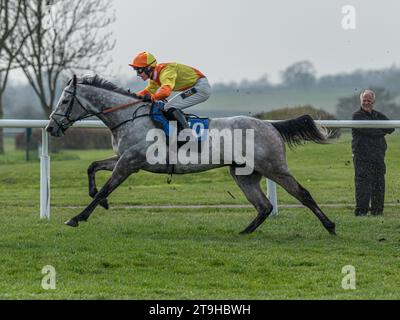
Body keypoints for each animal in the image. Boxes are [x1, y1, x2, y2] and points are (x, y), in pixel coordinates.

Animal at [45, 75, 336, 235]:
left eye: (64, 100)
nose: (50, 127)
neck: (129, 117)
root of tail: (271, 125)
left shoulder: (129, 163)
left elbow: (106, 188)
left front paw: (77, 217)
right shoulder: (123, 158)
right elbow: (92, 167)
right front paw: (98, 201)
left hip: (274, 167)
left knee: (302, 194)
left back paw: (330, 226)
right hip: (244, 173)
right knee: (264, 206)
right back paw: (244, 232)